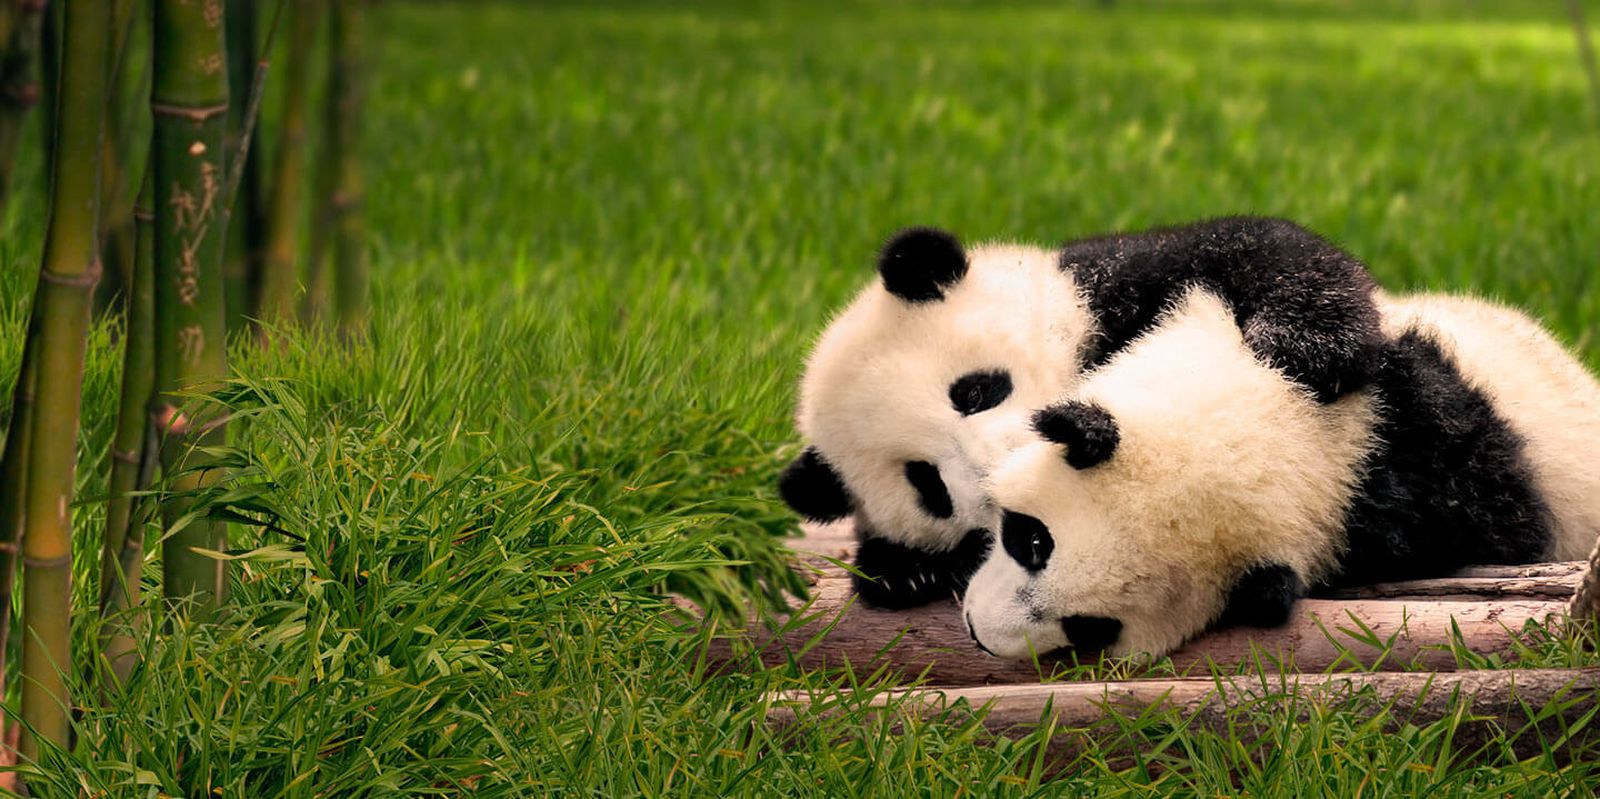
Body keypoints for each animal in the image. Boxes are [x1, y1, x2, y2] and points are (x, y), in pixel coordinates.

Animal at [778, 217, 1384, 608]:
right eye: (927, 483)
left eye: (975, 392)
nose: (1002, 469)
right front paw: (900, 573)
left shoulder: (1110, 284)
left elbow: (1258, 249)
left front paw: (1299, 347)